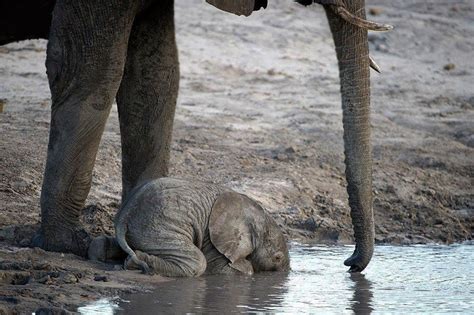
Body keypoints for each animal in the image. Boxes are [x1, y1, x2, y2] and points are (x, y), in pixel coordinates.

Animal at [112, 179, 288, 278]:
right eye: (277, 258)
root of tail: (124, 215)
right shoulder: (213, 236)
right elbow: (223, 270)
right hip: (159, 227)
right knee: (197, 263)